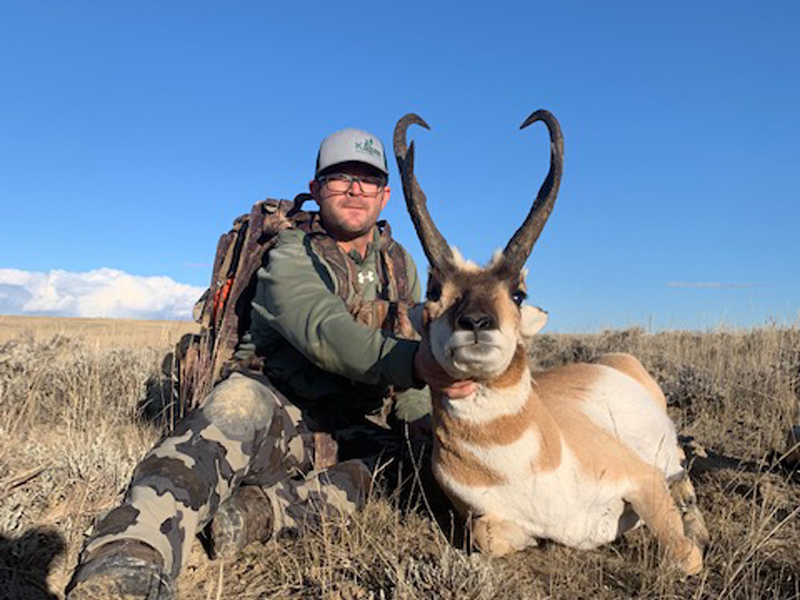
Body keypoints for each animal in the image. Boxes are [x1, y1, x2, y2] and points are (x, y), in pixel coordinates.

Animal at [392, 110, 708, 576]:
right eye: (435, 291)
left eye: (518, 293)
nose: (476, 322)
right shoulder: (486, 522)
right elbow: (488, 536)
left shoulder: (643, 479)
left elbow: (686, 558)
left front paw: (691, 538)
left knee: (682, 474)